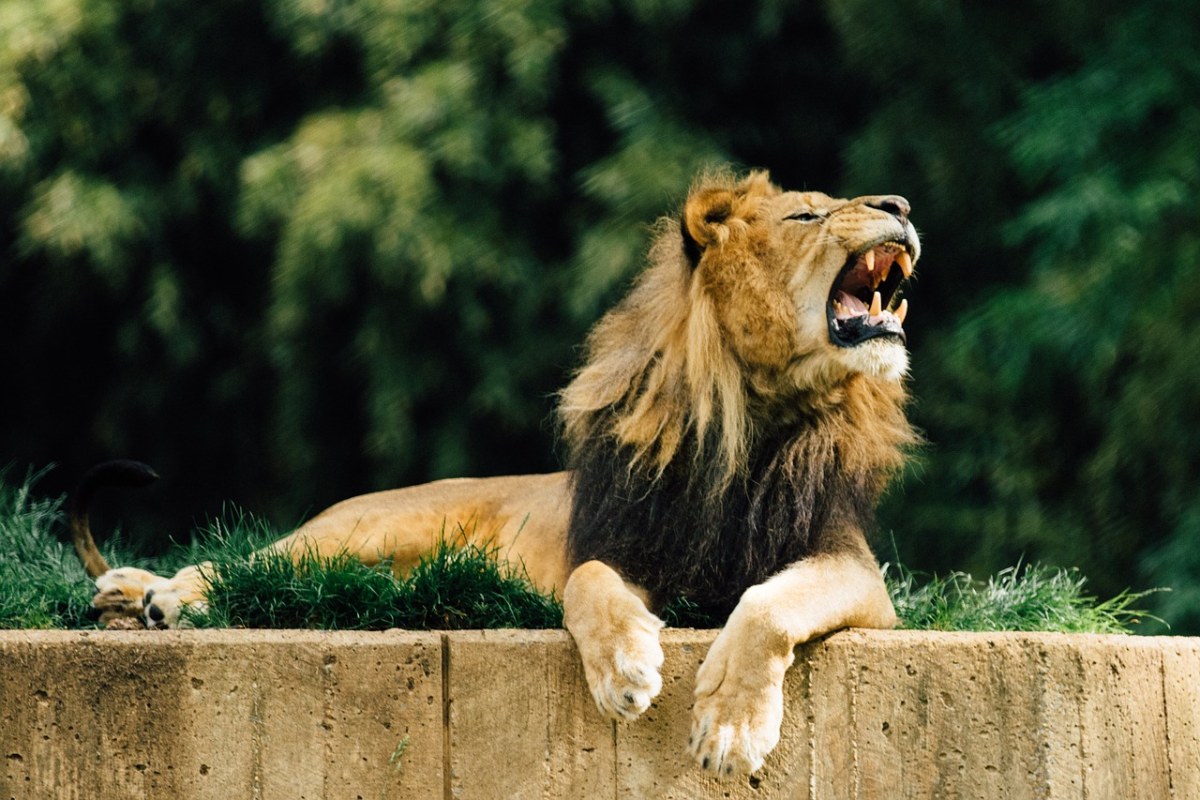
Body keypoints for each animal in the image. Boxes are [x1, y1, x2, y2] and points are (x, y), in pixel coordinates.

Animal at [75, 169, 916, 777]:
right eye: (804, 217)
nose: (901, 205)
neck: (750, 421)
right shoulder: (617, 544)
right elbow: (590, 583)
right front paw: (625, 669)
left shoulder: (855, 568)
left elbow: (767, 606)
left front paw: (731, 726)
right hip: (363, 528)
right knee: (259, 562)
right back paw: (163, 595)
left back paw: (130, 591)